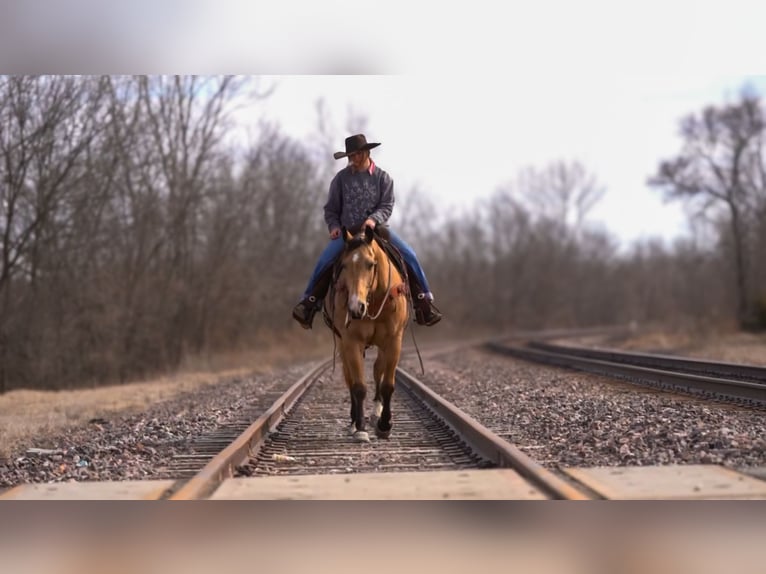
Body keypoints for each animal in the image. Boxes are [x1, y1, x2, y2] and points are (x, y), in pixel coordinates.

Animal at [328, 227, 412, 444]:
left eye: (370, 264)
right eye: (344, 265)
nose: (355, 308)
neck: (373, 301)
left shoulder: (394, 340)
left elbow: (388, 385)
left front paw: (384, 425)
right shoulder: (351, 341)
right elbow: (358, 386)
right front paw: (360, 428)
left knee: (377, 369)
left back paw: (376, 412)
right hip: (342, 344)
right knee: (350, 378)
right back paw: (353, 421)